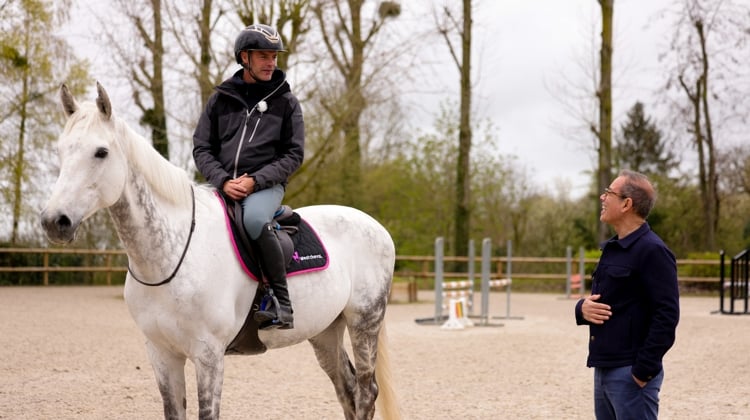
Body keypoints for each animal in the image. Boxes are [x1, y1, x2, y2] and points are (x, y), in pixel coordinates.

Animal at [42, 83, 400, 420]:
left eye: (100, 152)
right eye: (60, 150)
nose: (53, 221)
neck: (170, 257)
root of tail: (377, 227)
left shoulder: (208, 355)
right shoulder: (162, 354)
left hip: (364, 321)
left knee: (366, 392)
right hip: (325, 332)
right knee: (347, 389)